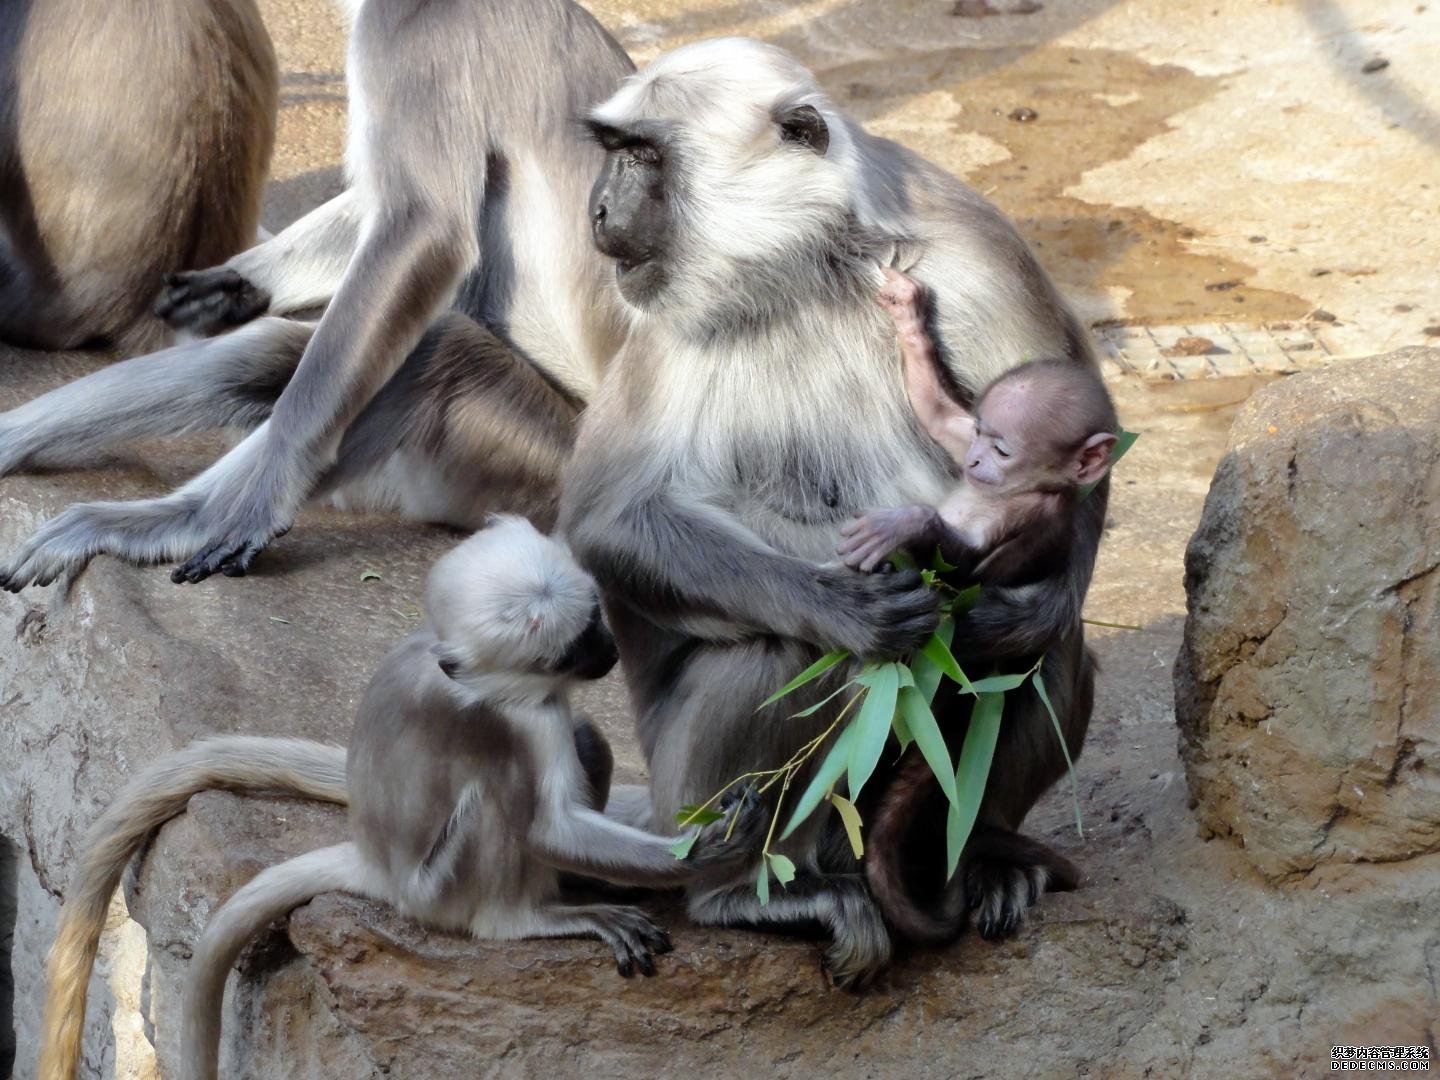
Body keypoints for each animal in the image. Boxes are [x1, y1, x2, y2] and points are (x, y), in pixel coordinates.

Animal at [36, 521, 766, 1077]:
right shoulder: (517, 718)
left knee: (586, 739)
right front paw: (716, 849)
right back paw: (530, 916)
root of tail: (375, 864)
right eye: (570, 648)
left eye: (594, 622)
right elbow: (547, 827)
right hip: (442, 887)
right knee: (505, 807)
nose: (607, 649)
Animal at [555, 40, 1094, 990]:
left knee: (1042, 654)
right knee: (783, 654)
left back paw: (982, 852)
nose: (601, 207)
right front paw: (848, 608)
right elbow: (611, 518)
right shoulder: (663, 314)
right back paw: (746, 894)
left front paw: (1018, 609)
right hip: (693, 794)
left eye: (643, 155)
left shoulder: (975, 249)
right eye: (616, 151)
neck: (807, 268)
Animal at [835, 270, 1123, 587]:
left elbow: (963, 575)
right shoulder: (965, 437)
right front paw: (909, 313)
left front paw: (907, 524)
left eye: (1001, 451)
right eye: (978, 434)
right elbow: (936, 412)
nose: (973, 460)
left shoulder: (1035, 512)